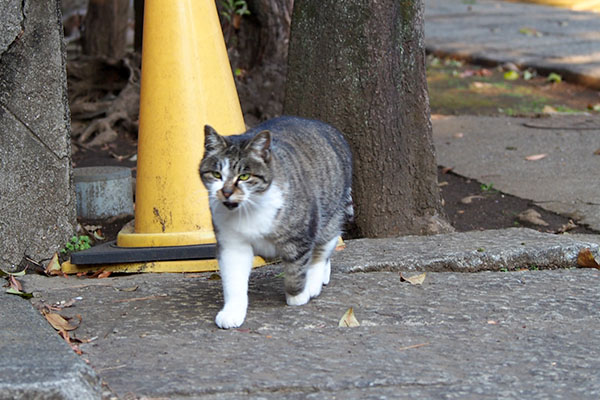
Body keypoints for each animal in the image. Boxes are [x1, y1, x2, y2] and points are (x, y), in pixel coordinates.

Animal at [199, 115, 354, 328]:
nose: (227, 192)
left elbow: (296, 270)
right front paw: (232, 312)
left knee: (322, 250)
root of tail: (327, 126)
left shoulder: (300, 236)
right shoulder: (232, 245)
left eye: (244, 176)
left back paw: (314, 282)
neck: (249, 209)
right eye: (216, 175)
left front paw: (298, 295)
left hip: (330, 214)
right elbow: (233, 281)